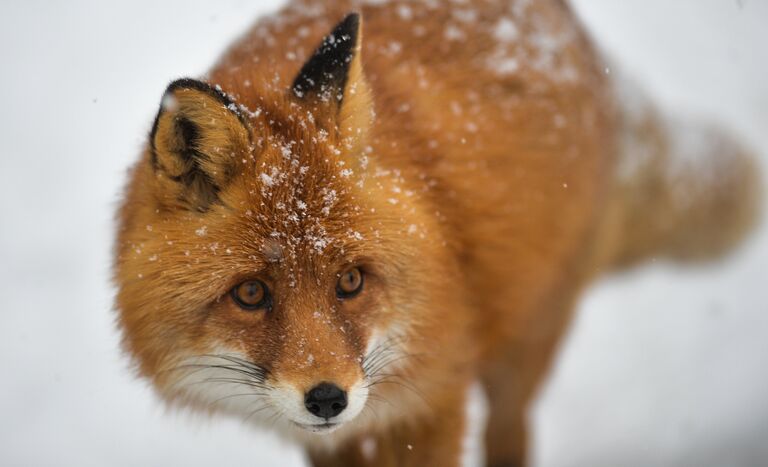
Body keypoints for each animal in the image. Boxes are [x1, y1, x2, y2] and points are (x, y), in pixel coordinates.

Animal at [114, 1, 760, 466]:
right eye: (250, 294)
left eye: (351, 281)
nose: (328, 399)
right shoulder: (339, 435)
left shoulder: (433, 397)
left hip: (525, 341)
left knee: (511, 433)